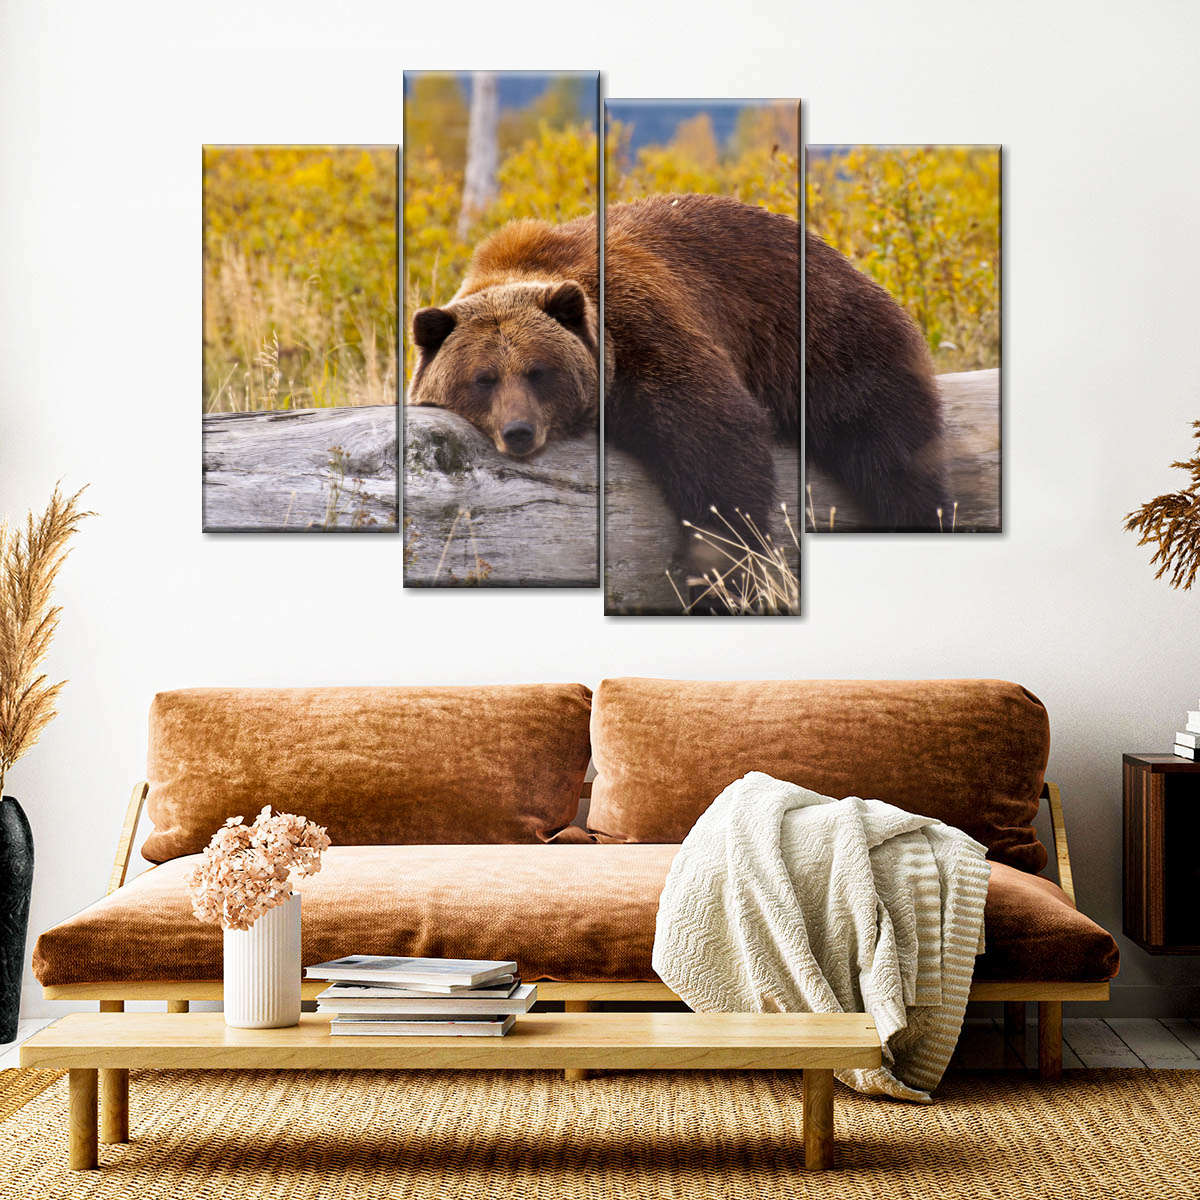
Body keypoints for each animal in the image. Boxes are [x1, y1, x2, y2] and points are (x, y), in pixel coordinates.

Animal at [408, 192, 946, 551]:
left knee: (889, 445)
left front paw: (720, 565)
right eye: (483, 378)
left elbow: (716, 438)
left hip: (825, 338)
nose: (518, 431)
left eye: (539, 371)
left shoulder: (644, 327)